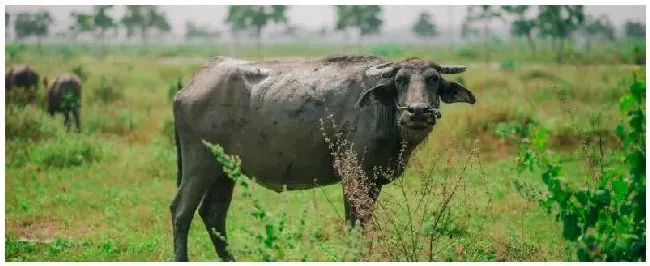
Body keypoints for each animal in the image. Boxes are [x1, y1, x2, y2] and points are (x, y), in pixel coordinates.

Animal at [170, 55, 478, 260]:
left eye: (433, 80)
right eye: (400, 80)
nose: (418, 111)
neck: (382, 111)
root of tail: (188, 87)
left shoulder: (373, 182)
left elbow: (364, 224)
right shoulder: (353, 177)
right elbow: (355, 225)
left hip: (225, 170)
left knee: (213, 214)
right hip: (200, 165)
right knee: (181, 211)